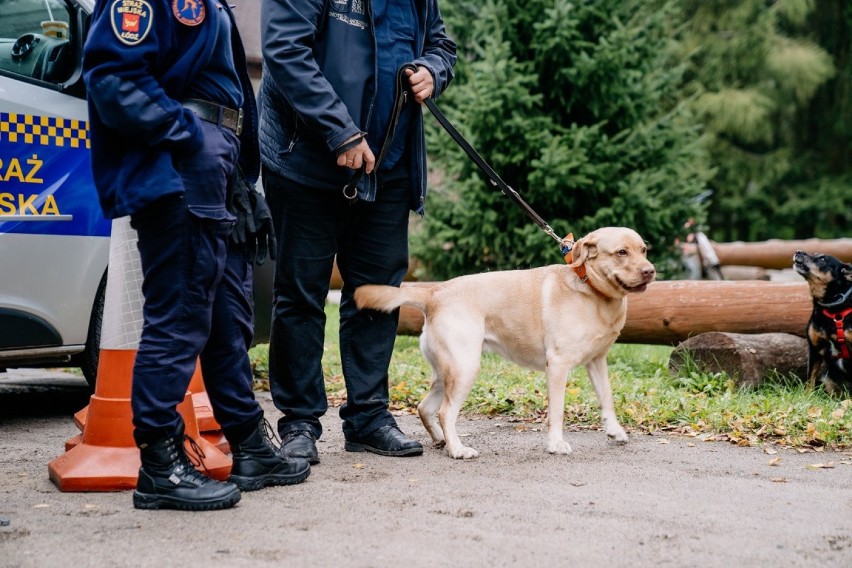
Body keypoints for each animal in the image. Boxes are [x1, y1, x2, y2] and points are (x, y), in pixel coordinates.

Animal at [352, 226, 652, 458]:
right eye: (621, 252)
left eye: (643, 250)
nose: (651, 271)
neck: (591, 290)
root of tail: (434, 293)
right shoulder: (558, 365)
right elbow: (556, 411)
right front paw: (556, 444)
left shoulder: (597, 362)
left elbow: (606, 398)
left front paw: (614, 430)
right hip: (465, 368)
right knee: (445, 412)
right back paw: (457, 449)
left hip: (447, 371)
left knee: (425, 408)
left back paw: (442, 441)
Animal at [792, 251, 852, 392]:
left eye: (822, 259)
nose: (798, 251)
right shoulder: (814, 348)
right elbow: (810, 379)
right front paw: (807, 396)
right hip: (828, 379)